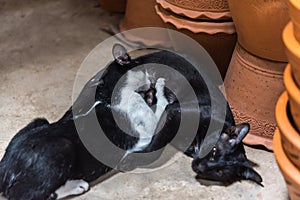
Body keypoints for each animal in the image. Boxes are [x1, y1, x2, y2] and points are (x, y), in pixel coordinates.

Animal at [0, 44, 262, 200]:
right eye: (215, 151)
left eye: (219, 172)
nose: (199, 167)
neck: (108, 97)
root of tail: (4, 170)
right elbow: (159, 117)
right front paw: (158, 88)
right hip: (60, 150)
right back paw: (76, 185)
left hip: (38, 121)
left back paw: (77, 185)